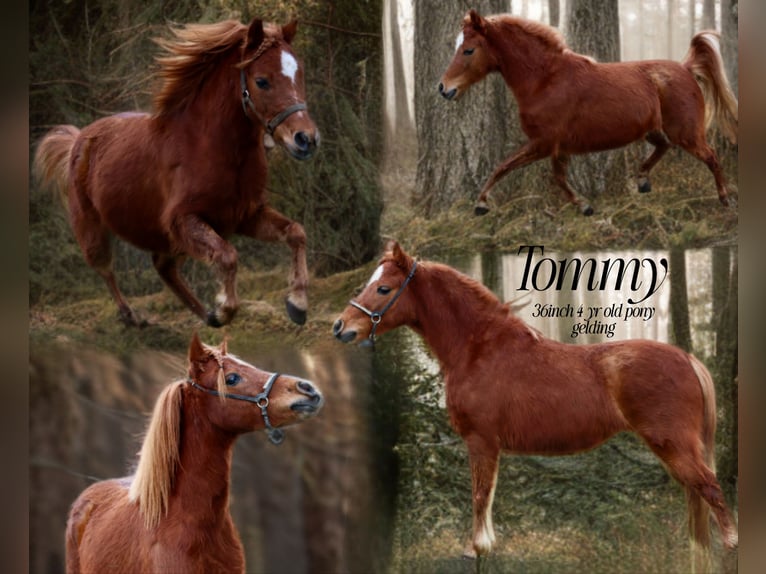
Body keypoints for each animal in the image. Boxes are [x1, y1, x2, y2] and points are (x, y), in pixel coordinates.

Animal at [34, 18, 319, 327]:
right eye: (262, 81)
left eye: (300, 74)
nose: (306, 139)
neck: (214, 149)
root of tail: (79, 139)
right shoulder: (183, 221)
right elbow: (228, 256)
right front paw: (224, 308)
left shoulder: (245, 215)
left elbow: (296, 232)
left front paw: (297, 305)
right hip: (93, 229)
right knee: (106, 268)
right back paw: (131, 315)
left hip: (171, 243)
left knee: (164, 267)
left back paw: (204, 315)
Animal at [332, 241, 738, 561]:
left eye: (383, 288)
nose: (340, 327)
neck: (477, 349)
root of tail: (687, 359)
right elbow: (488, 495)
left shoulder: (481, 441)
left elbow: (480, 494)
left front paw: (476, 549)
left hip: (674, 445)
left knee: (710, 488)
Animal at [438, 10, 738, 216]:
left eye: (468, 50)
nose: (444, 89)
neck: (544, 80)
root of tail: (686, 69)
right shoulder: (558, 148)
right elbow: (554, 177)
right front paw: (584, 206)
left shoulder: (543, 143)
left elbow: (506, 166)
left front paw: (480, 204)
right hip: (653, 131)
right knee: (663, 147)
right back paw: (642, 181)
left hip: (686, 133)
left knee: (711, 157)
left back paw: (725, 199)